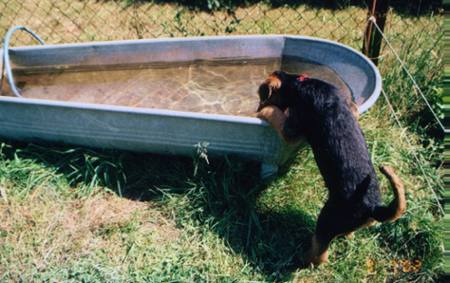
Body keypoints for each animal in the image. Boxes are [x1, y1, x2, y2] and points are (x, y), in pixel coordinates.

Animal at [255, 71, 406, 266]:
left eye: (263, 97)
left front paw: (262, 112)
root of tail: (373, 207)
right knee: (347, 234)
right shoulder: (352, 108)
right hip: (353, 224)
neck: (301, 83)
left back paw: (301, 258)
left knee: (320, 253)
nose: (256, 107)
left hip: (326, 221)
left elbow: (275, 113)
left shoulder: (292, 128)